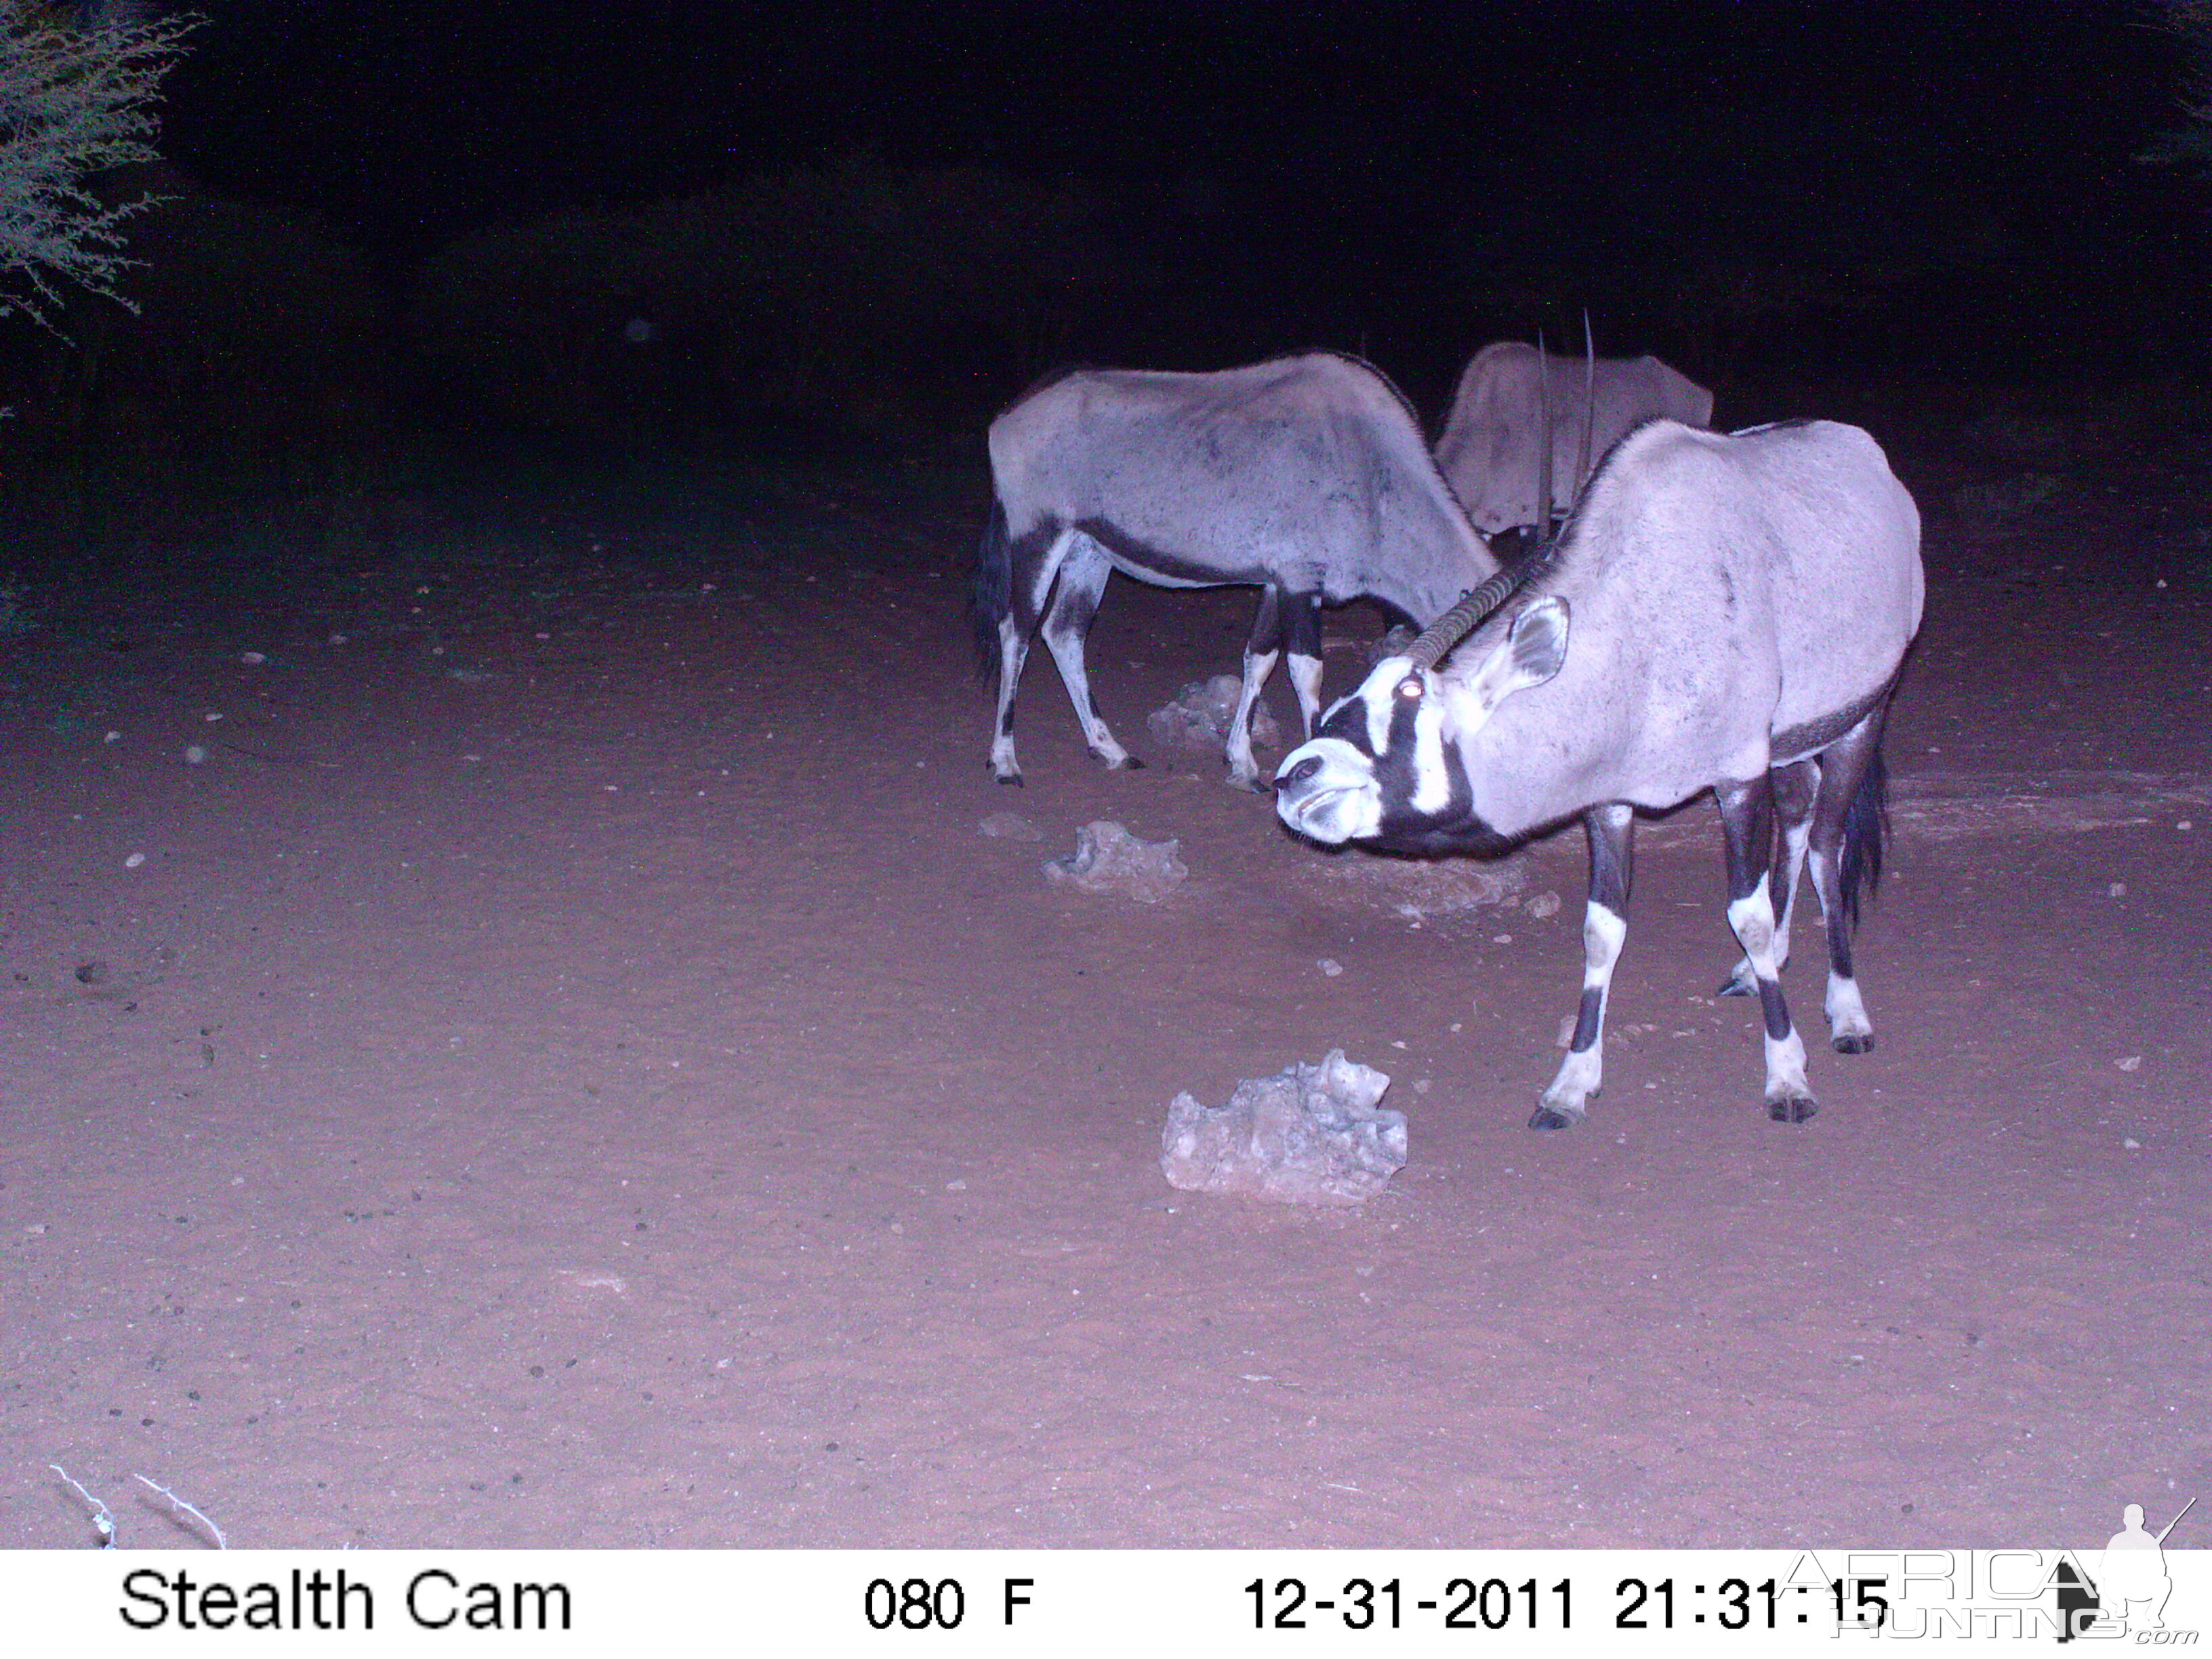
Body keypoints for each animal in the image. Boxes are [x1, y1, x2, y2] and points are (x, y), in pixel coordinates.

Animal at [973, 351, 1504, 792]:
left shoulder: (1276, 581)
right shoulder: (1300, 581)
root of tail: (1008, 416)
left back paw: (1110, 749)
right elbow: (1307, 672)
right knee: (1018, 632)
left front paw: (1243, 765)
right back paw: (1005, 761)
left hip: (1089, 553)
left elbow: (1260, 658)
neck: (1375, 468)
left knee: (1064, 633)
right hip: (1039, 536)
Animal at [1274, 422, 1929, 1141]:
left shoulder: (1737, 777)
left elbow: (1747, 915)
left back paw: (1847, 1010)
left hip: (1864, 716)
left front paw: (1788, 1077)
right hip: (1791, 745)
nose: (1292, 778)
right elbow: (1602, 930)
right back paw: (1765, 971)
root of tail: (1871, 461)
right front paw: (1570, 1084)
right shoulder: (1612, 802)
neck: (1638, 626)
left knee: (1825, 843)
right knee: (1799, 817)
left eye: (1412, 696)